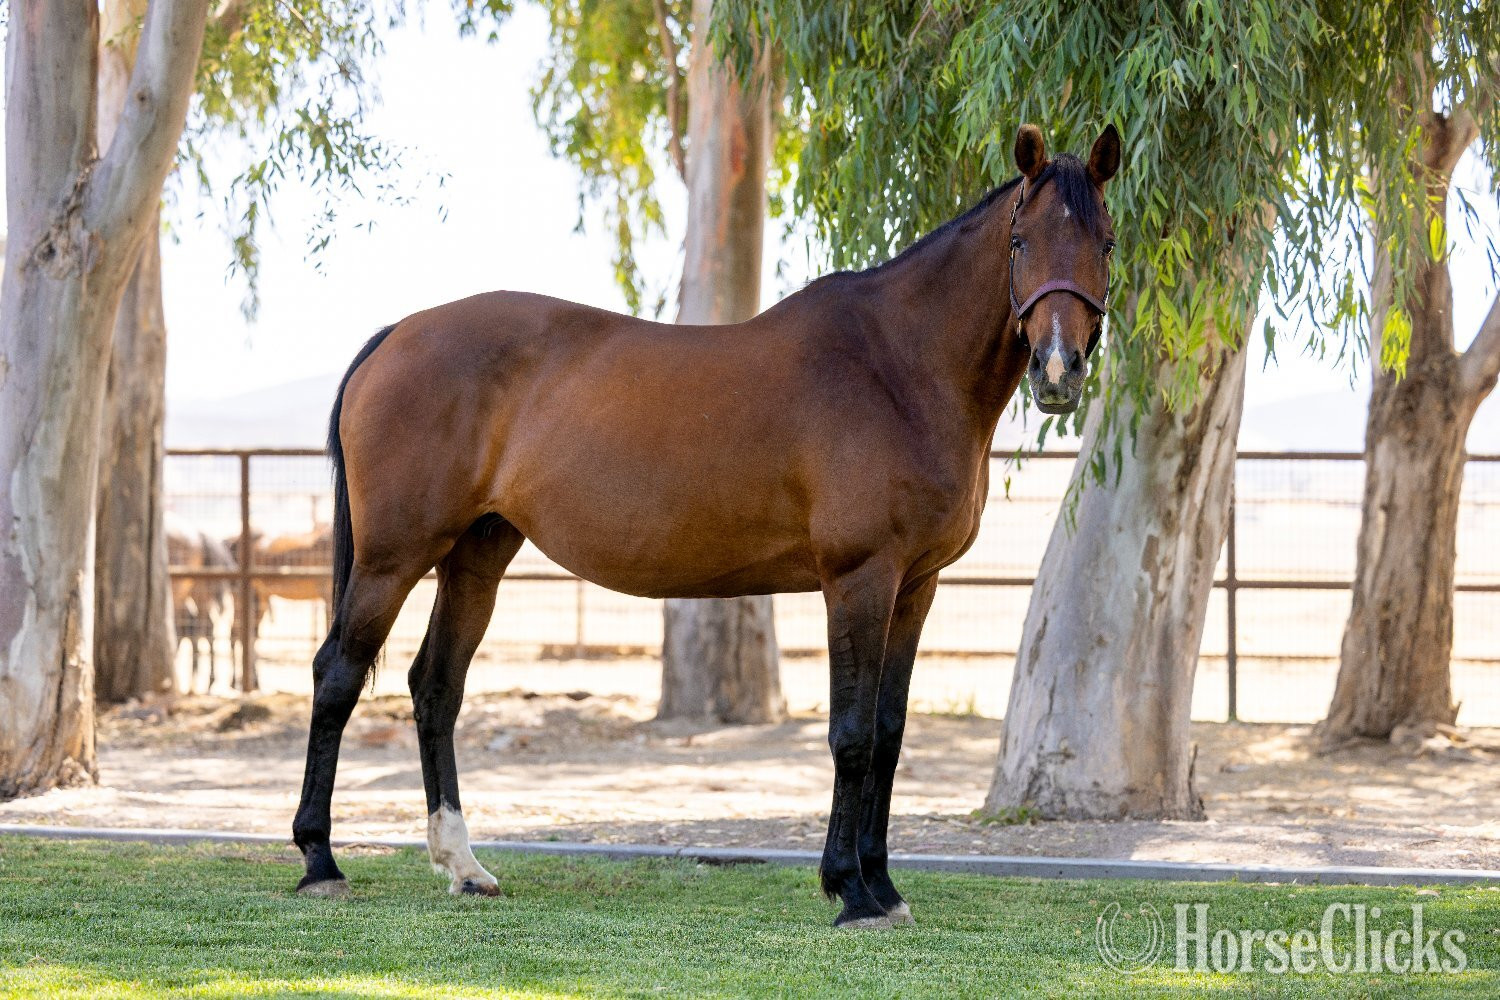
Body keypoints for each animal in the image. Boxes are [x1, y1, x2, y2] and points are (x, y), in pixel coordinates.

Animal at [293, 123, 1121, 929]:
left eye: (1107, 243)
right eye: (1021, 242)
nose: (1058, 370)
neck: (898, 366)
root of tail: (397, 335)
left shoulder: (916, 585)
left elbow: (887, 735)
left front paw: (884, 888)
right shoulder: (859, 578)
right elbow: (850, 733)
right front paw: (850, 892)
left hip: (476, 557)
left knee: (436, 687)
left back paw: (463, 867)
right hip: (393, 557)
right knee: (337, 675)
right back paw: (320, 862)